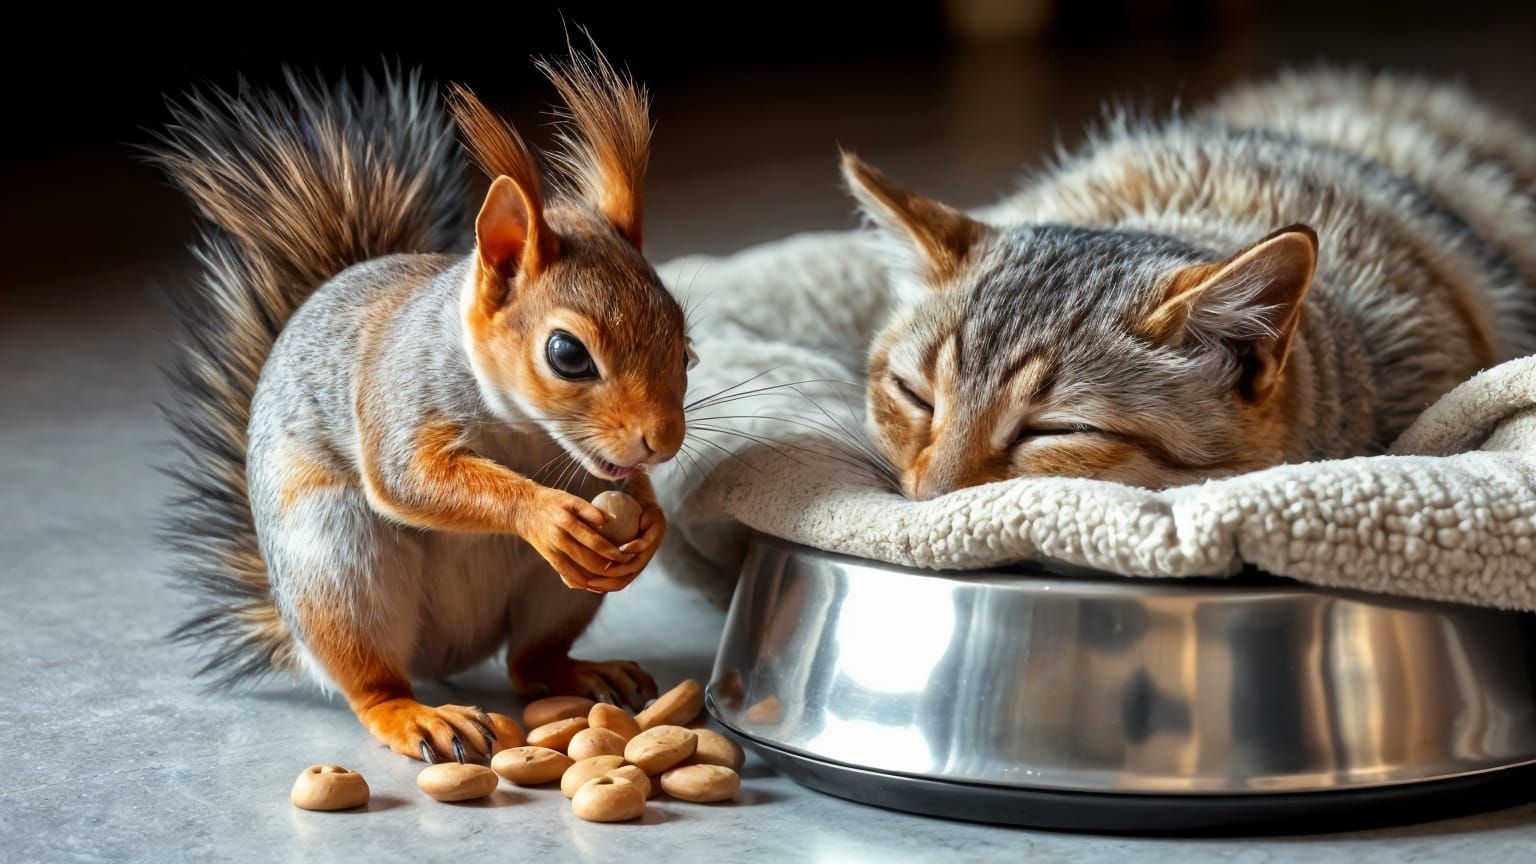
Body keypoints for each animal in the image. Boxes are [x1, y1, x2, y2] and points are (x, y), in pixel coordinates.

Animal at [153, 53, 693, 762]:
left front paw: (651, 525)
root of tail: (448, 656)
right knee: (372, 680)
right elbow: (412, 477)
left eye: (685, 346)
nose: (664, 442)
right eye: (567, 354)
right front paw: (546, 516)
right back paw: (417, 716)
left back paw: (581, 672)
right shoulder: (400, 392)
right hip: (339, 563)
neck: (524, 431)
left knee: (529, 662)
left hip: (557, 597)